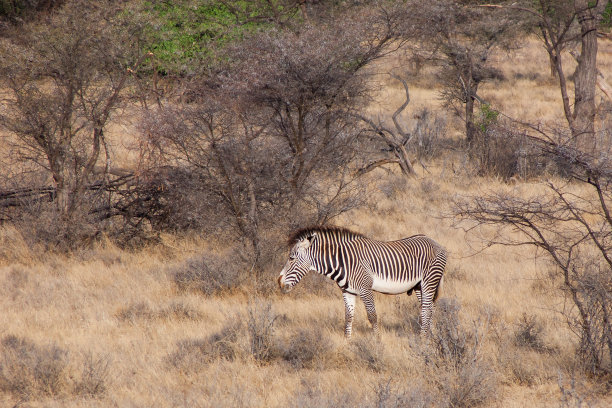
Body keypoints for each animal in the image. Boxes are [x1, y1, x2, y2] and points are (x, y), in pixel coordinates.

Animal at [276, 226, 444, 338]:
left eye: (291, 258)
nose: (279, 283)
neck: (343, 262)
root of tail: (434, 241)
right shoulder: (347, 291)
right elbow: (348, 316)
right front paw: (347, 341)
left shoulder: (365, 288)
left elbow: (372, 316)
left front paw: (377, 341)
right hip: (419, 286)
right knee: (430, 309)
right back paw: (433, 338)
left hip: (429, 281)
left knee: (426, 310)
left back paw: (423, 340)